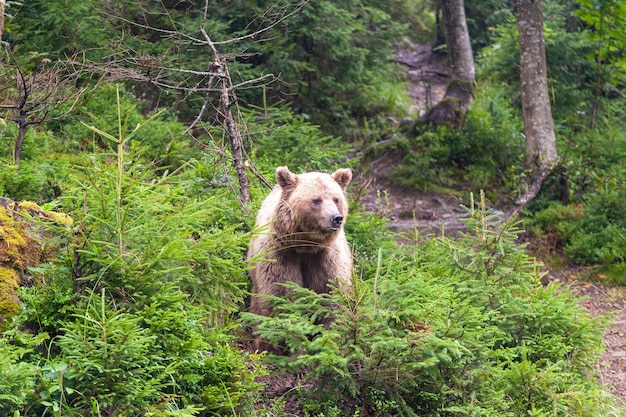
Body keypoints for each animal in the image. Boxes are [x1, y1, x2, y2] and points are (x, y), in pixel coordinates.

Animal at [246, 166, 352, 316]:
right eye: (317, 199)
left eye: (336, 199)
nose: (336, 218)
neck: (306, 245)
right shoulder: (280, 253)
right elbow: (280, 291)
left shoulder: (326, 257)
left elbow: (330, 292)